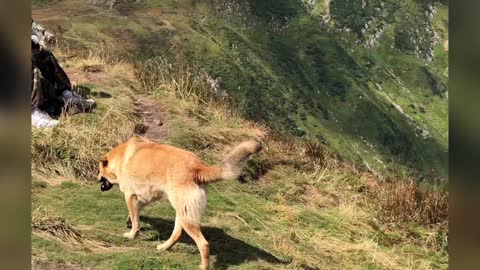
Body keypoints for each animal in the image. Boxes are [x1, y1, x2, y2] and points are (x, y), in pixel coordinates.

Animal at [97, 136, 262, 268]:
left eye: (99, 171)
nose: (97, 179)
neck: (120, 156)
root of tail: (198, 167)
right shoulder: (145, 196)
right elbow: (135, 213)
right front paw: (130, 221)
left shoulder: (130, 195)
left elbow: (134, 217)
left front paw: (132, 234)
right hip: (182, 212)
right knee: (177, 234)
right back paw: (164, 247)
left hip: (186, 216)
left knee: (204, 244)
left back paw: (203, 266)